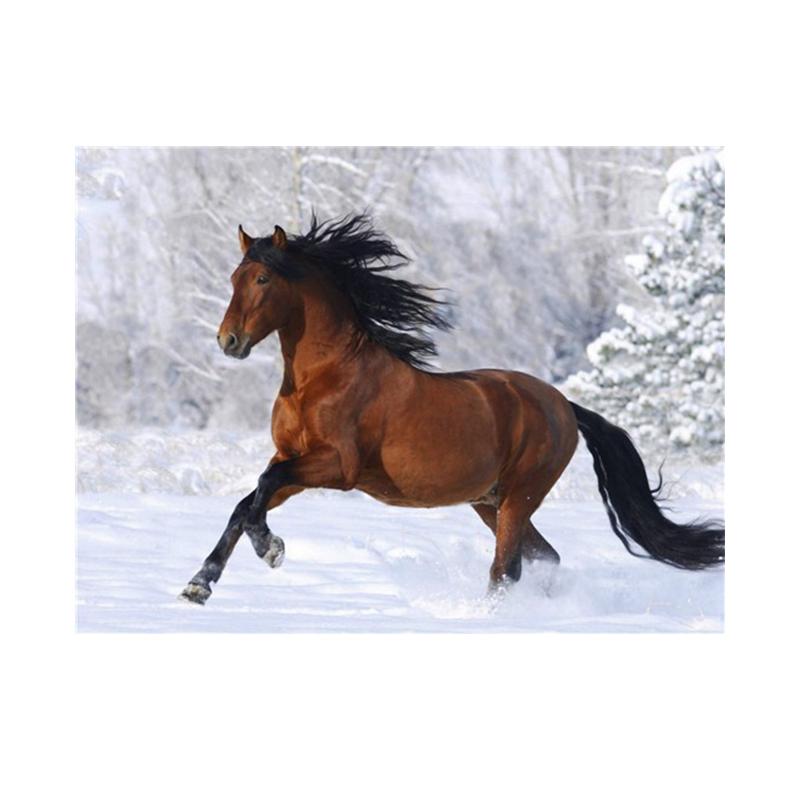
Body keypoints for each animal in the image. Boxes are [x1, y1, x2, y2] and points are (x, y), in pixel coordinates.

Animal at [180, 214, 724, 605]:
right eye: (234, 277)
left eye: (263, 278)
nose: (228, 341)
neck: (324, 377)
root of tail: (564, 406)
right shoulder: (291, 459)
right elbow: (246, 502)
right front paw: (199, 583)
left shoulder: (337, 467)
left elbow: (260, 489)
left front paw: (271, 549)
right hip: (490, 501)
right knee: (543, 557)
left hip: (520, 496)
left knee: (506, 567)